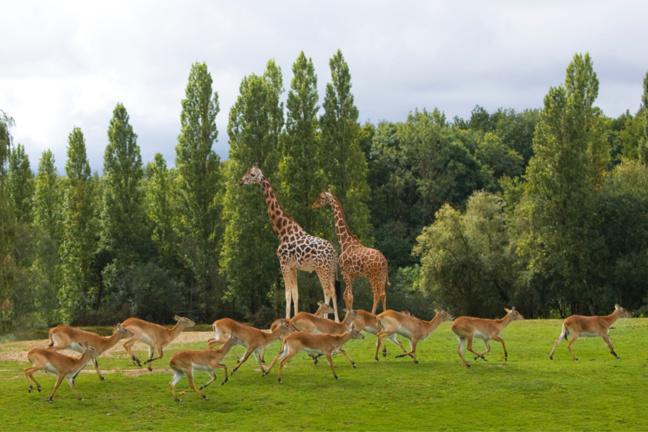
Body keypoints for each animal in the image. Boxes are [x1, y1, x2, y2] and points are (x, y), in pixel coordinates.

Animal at [238, 165, 340, 320]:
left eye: (252, 174)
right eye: (247, 172)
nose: (241, 181)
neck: (282, 231)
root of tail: (334, 252)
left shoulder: (284, 264)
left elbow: (287, 294)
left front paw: (287, 320)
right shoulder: (293, 267)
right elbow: (296, 294)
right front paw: (295, 319)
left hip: (321, 269)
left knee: (327, 292)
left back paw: (325, 320)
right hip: (330, 270)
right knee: (332, 291)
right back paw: (335, 321)